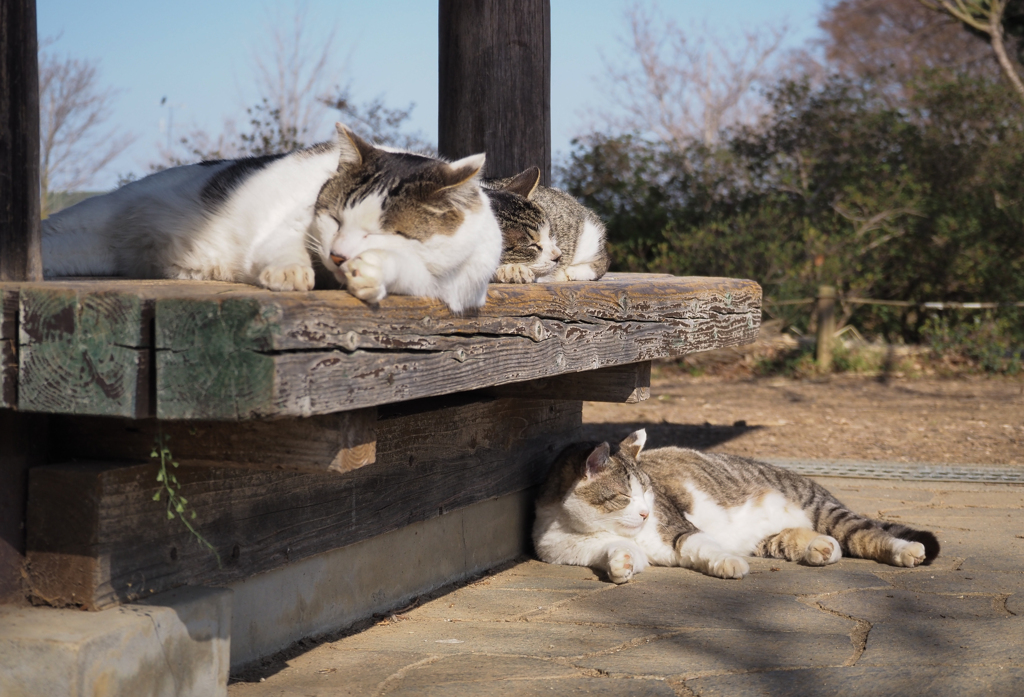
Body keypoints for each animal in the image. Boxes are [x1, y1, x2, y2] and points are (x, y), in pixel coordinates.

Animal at [43, 122, 503, 313]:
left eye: (379, 233)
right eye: (334, 219)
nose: (338, 256)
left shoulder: (458, 288)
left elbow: (409, 270)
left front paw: (372, 272)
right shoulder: (295, 225)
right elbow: (285, 245)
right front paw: (291, 273)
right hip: (87, 219)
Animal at [536, 429, 942, 581]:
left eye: (647, 493)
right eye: (624, 496)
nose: (645, 512)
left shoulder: (680, 529)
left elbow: (702, 546)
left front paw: (730, 564)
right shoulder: (570, 550)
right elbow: (617, 552)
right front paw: (620, 564)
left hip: (824, 509)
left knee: (867, 534)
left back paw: (906, 550)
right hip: (770, 538)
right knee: (812, 540)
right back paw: (818, 547)